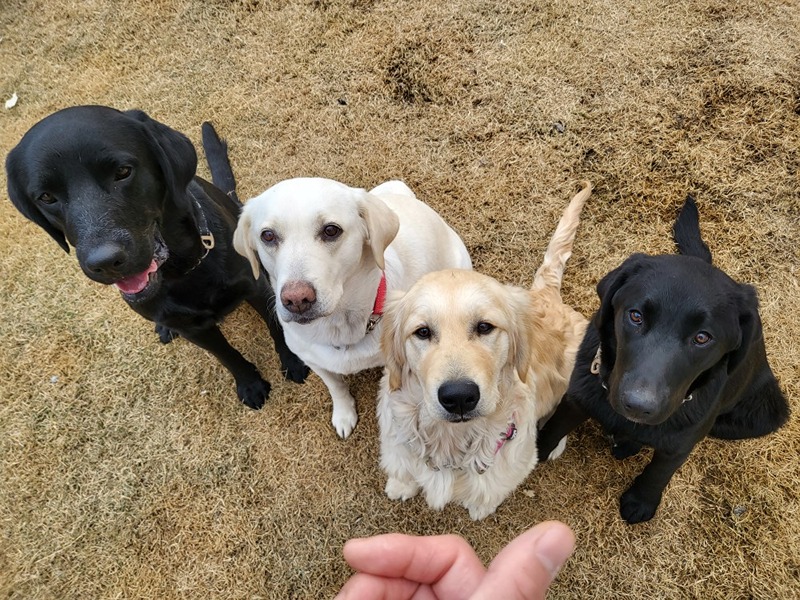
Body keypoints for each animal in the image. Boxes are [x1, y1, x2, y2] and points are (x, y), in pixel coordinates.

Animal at [7, 106, 310, 408]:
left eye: (123, 172)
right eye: (46, 197)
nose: (104, 262)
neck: (182, 272)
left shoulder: (254, 287)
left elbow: (276, 327)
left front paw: (293, 362)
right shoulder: (194, 330)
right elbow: (226, 355)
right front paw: (249, 384)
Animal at [233, 178, 468, 436]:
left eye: (331, 230)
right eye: (267, 236)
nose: (296, 300)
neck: (339, 324)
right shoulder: (313, 360)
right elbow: (336, 386)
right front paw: (344, 414)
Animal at [374, 183, 588, 520]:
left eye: (485, 327)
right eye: (422, 332)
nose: (459, 397)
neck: (450, 441)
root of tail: (546, 296)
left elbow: (490, 492)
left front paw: (480, 507)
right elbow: (403, 468)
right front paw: (401, 485)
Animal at [536, 196, 792, 520]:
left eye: (702, 337)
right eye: (635, 316)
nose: (638, 406)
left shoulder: (681, 441)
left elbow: (660, 471)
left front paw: (641, 501)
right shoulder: (577, 397)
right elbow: (552, 429)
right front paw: (534, 454)